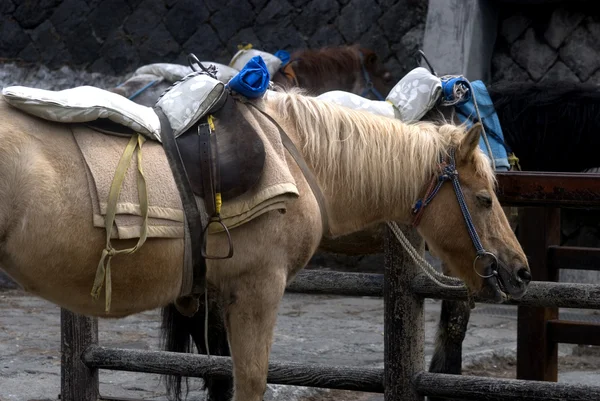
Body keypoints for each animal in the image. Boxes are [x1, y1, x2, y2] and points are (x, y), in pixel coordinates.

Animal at [0, 87, 528, 400]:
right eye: (484, 199)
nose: (519, 270)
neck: (294, 155)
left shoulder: (217, 297)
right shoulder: (258, 289)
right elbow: (251, 381)